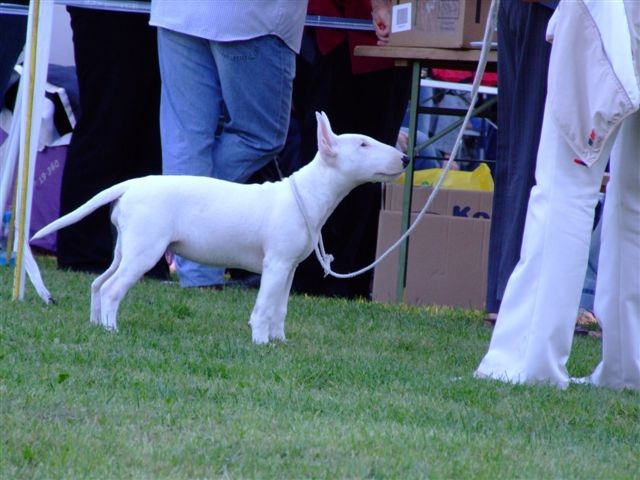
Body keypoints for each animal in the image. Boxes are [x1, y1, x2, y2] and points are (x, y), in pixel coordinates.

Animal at [31, 112, 410, 344]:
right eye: (363, 144)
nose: (405, 159)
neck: (307, 193)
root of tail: (131, 185)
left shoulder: (288, 267)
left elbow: (280, 308)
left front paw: (280, 341)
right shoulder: (275, 264)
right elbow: (263, 306)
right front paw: (261, 343)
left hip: (126, 246)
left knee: (99, 282)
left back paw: (97, 325)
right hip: (145, 249)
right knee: (112, 289)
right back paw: (112, 329)